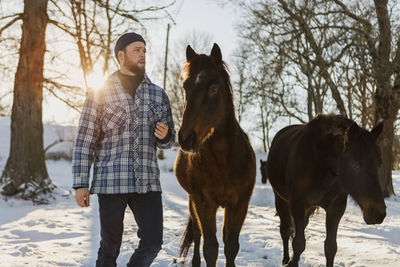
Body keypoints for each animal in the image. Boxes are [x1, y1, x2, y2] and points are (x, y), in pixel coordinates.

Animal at [174, 44, 256, 267]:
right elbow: (210, 248)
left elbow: (231, 246)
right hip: (193, 201)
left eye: (214, 88)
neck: (223, 162)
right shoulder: (203, 202)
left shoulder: (239, 203)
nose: (186, 138)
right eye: (185, 86)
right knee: (197, 232)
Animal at [260, 115, 386, 267]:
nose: (378, 213)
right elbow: (299, 243)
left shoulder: (335, 207)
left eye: (379, 162)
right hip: (281, 199)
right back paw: (285, 259)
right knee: (285, 230)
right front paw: (291, 262)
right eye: (355, 163)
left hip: (309, 208)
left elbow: (330, 247)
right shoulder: (298, 203)